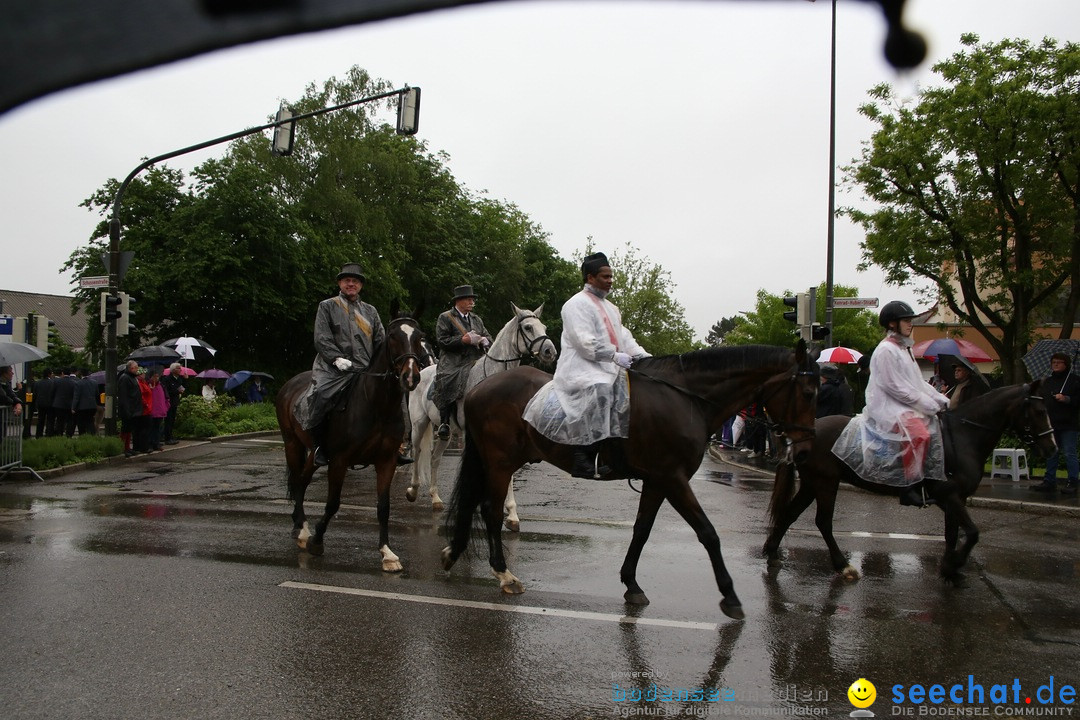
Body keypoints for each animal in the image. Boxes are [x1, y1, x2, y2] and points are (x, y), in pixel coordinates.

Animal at [274, 306, 425, 569]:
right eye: (393, 336)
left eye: (419, 336)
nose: (410, 376)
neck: (377, 407)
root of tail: (291, 384)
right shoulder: (340, 461)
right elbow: (333, 502)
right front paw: (317, 540)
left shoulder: (386, 461)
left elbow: (383, 507)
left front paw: (387, 553)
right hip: (292, 444)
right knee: (297, 480)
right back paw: (301, 529)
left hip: (314, 454)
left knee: (302, 479)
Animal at [406, 304, 557, 528]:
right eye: (528, 327)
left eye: (544, 326)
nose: (550, 351)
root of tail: (422, 372)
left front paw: (511, 514)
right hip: (419, 425)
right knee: (416, 454)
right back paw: (413, 491)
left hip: (445, 434)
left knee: (434, 459)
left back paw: (435, 498)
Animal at [440, 343, 816, 621]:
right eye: (810, 391)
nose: (807, 449)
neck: (685, 399)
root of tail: (476, 389)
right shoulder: (673, 478)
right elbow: (707, 533)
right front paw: (730, 595)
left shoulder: (657, 481)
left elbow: (642, 530)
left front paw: (631, 584)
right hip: (500, 463)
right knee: (490, 511)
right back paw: (504, 574)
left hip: (495, 463)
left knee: (476, 506)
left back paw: (454, 553)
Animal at [764, 379, 1058, 582]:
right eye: (1039, 410)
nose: (1052, 448)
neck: (963, 438)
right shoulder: (950, 495)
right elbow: (973, 533)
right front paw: (955, 564)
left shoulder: (954, 499)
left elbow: (952, 534)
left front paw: (949, 569)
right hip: (825, 483)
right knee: (823, 522)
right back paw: (842, 566)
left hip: (813, 484)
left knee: (790, 514)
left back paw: (772, 552)